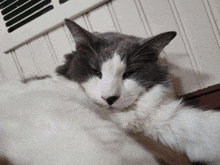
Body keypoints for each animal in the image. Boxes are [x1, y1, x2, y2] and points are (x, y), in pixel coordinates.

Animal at [0, 18, 219, 164]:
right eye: (96, 71)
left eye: (128, 74)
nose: (110, 98)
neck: (117, 120)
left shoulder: (163, 120)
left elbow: (206, 129)